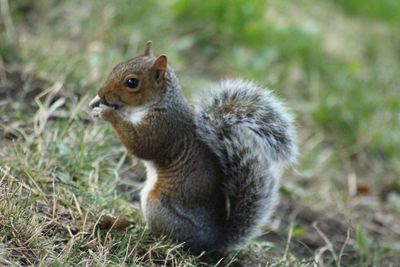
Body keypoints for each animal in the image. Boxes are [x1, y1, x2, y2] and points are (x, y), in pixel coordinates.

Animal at [90, 40, 296, 254]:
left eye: (132, 82)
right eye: (117, 66)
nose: (101, 93)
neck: (158, 103)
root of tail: (213, 241)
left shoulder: (164, 128)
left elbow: (141, 145)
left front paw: (108, 113)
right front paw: (96, 103)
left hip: (158, 206)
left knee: (171, 238)